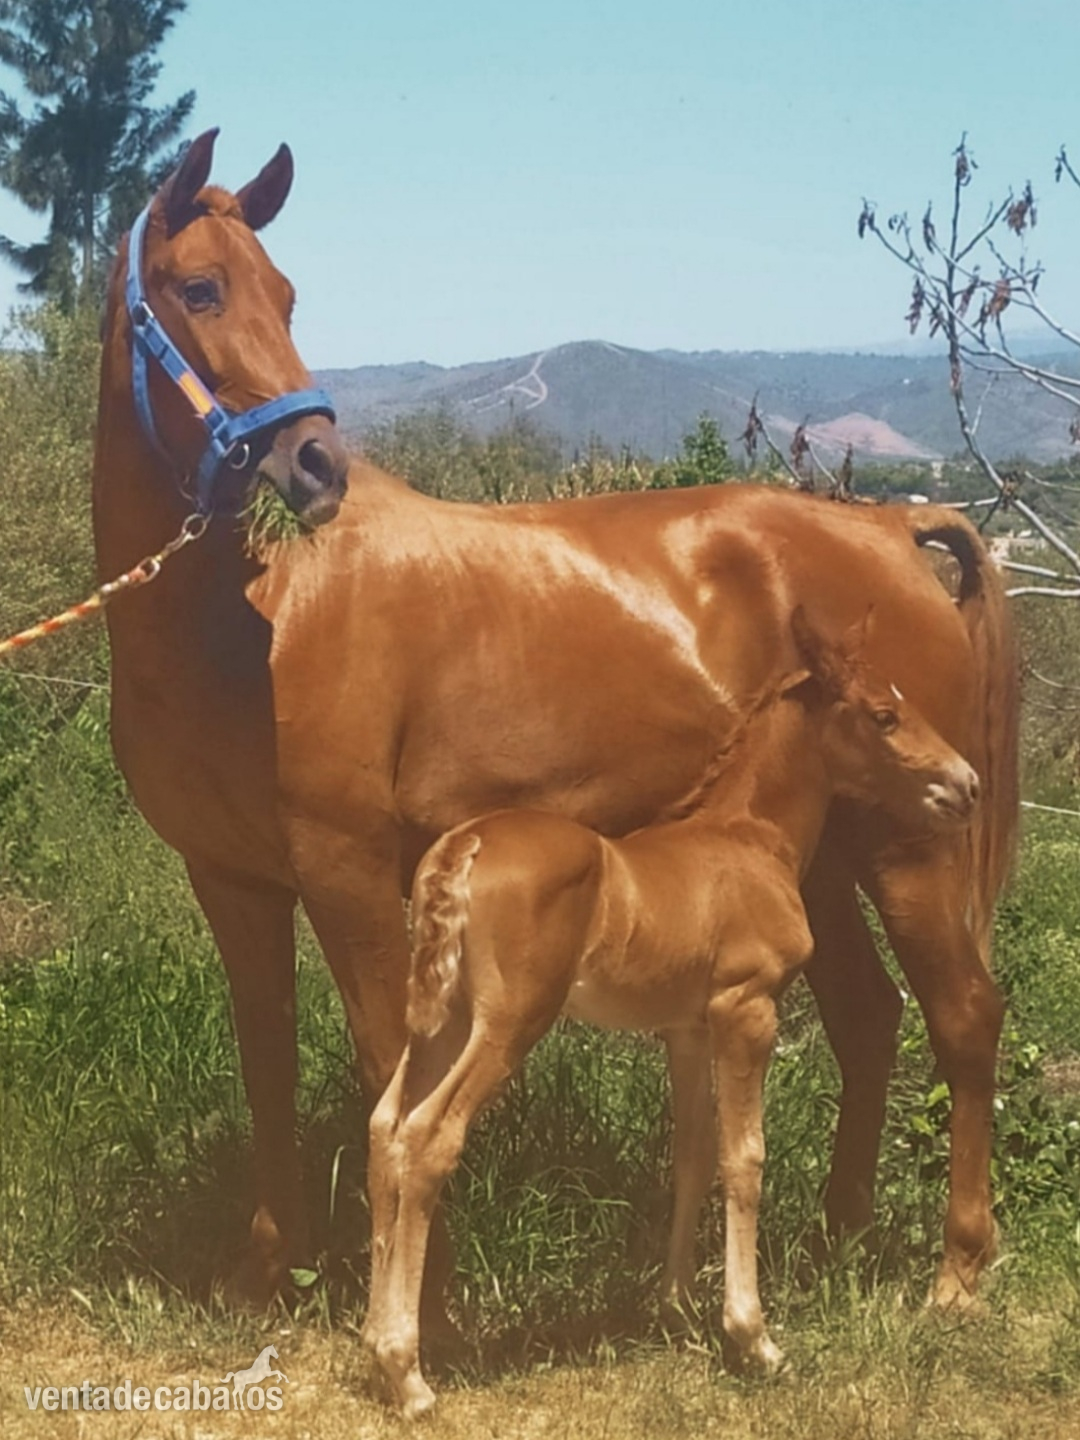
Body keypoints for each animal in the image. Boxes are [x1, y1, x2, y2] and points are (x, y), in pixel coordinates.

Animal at [93, 129, 1019, 1326]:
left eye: (286, 293)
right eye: (201, 288)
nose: (316, 465)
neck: (253, 623)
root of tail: (897, 530)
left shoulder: (350, 874)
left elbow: (388, 1063)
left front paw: (419, 1293)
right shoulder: (235, 881)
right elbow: (269, 1062)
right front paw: (268, 1269)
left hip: (914, 842)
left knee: (964, 1018)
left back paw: (956, 1271)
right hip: (818, 853)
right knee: (871, 1019)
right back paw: (836, 1240)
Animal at [363, 609, 981, 1416]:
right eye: (884, 714)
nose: (966, 784)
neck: (750, 838)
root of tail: (464, 844)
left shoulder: (685, 1028)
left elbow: (693, 1149)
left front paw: (677, 1308)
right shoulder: (747, 1007)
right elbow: (746, 1155)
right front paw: (753, 1338)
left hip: (444, 1016)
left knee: (385, 1126)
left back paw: (376, 1344)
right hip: (509, 1021)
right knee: (429, 1135)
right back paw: (407, 1375)